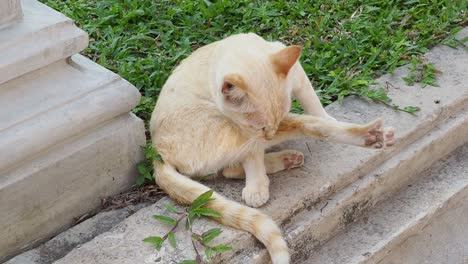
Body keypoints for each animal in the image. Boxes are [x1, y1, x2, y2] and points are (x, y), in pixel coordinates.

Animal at [151, 33, 394, 264]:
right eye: (260, 125)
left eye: (274, 121)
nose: (269, 133)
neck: (240, 49)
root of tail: (157, 152)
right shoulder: (247, 130)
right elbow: (253, 158)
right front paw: (257, 185)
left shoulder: (297, 75)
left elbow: (311, 100)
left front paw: (323, 113)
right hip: (228, 131)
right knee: (250, 157)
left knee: (231, 167)